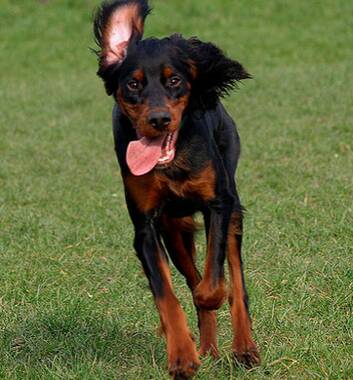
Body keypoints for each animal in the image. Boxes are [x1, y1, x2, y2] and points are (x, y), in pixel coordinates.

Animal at [93, 0, 258, 378]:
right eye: (133, 84)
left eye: (174, 80)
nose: (158, 120)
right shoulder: (146, 227)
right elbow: (168, 294)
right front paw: (183, 354)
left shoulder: (218, 204)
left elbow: (213, 286)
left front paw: (208, 306)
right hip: (174, 230)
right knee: (192, 276)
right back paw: (208, 348)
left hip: (233, 211)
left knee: (236, 282)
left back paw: (244, 348)